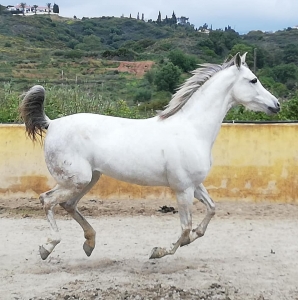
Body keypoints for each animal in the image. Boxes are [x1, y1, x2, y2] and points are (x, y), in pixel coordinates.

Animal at [18, 53, 280, 260]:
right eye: (253, 80)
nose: (276, 104)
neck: (193, 130)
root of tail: (52, 123)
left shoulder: (194, 185)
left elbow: (210, 211)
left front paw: (190, 238)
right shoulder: (183, 189)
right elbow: (185, 228)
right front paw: (159, 251)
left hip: (89, 179)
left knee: (67, 204)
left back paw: (89, 243)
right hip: (77, 180)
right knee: (47, 200)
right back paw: (48, 247)